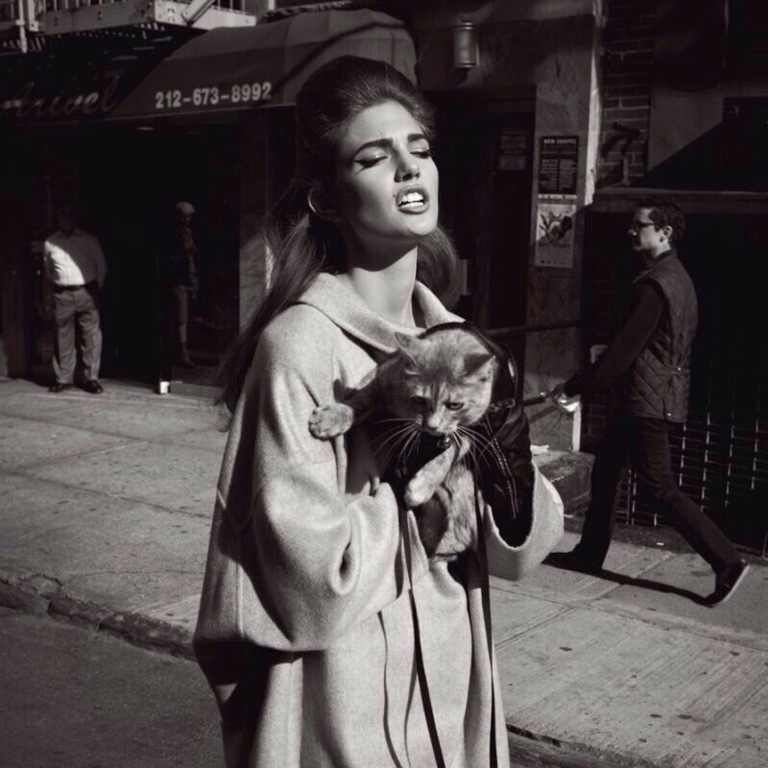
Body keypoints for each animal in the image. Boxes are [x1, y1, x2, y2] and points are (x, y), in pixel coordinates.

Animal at [309, 325, 500, 560]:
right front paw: (332, 417)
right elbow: (359, 401)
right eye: (419, 399)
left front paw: (422, 485)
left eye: (455, 405)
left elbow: (450, 451)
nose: (432, 426)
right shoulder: (382, 378)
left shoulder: (473, 430)